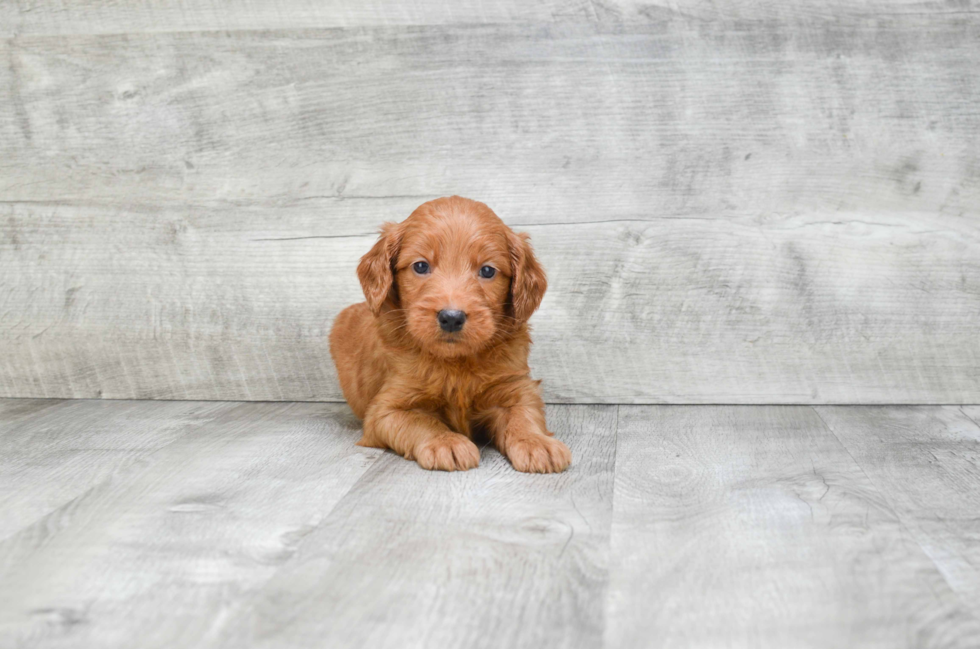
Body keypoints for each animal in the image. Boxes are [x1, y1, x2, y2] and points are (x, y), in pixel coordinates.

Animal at [332, 195, 572, 474]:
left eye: (488, 271)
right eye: (421, 266)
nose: (451, 317)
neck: (456, 363)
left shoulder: (515, 389)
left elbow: (523, 416)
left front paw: (536, 442)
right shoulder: (386, 410)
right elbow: (421, 422)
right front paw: (446, 442)